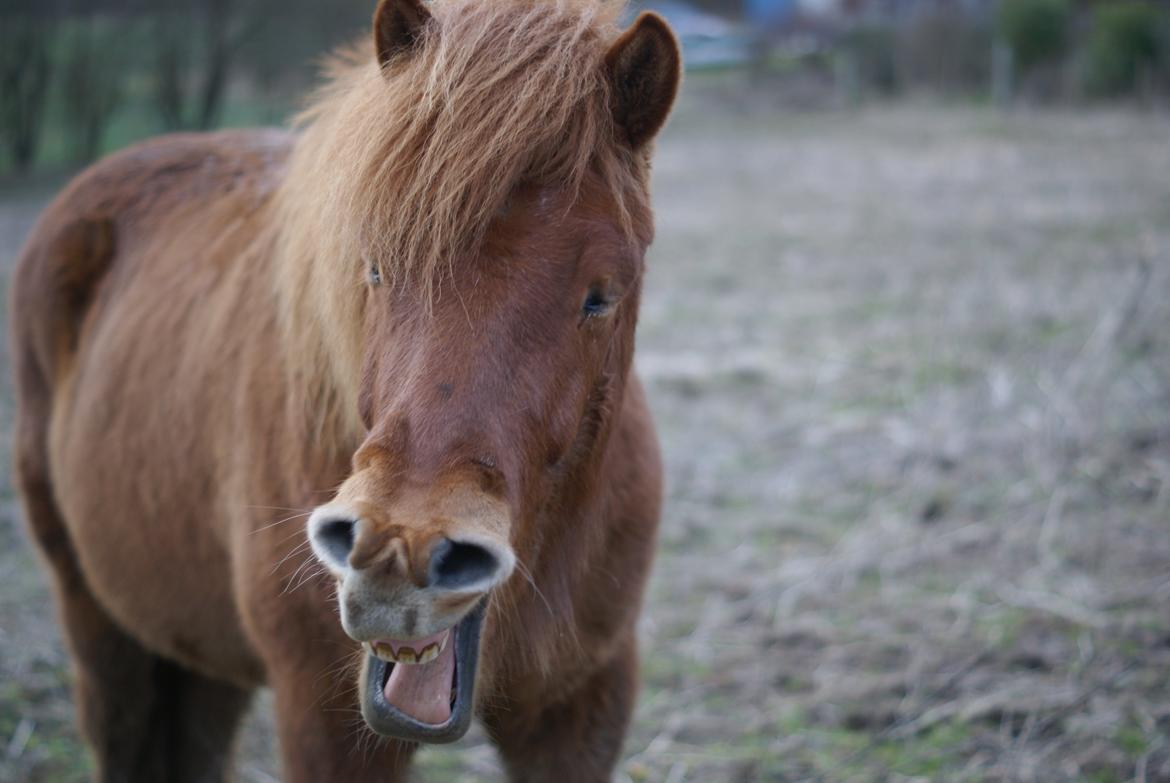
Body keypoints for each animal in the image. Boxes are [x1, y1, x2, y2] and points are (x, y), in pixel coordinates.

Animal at [9, 0, 683, 777]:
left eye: (601, 296)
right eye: (377, 268)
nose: (398, 553)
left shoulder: (581, 710)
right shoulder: (323, 722)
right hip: (102, 633)